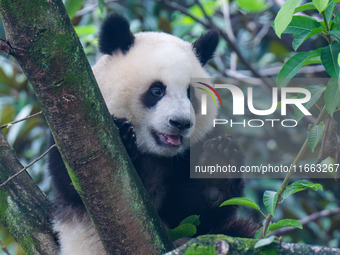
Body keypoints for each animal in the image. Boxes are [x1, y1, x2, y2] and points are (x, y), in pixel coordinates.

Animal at [48, 13, 258, 255]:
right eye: (157, 90)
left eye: (190, 94)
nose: (180, 123)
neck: (155, 155)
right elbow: (76, 184)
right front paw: (122, 135)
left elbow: (192, 213)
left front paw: (220, 162)